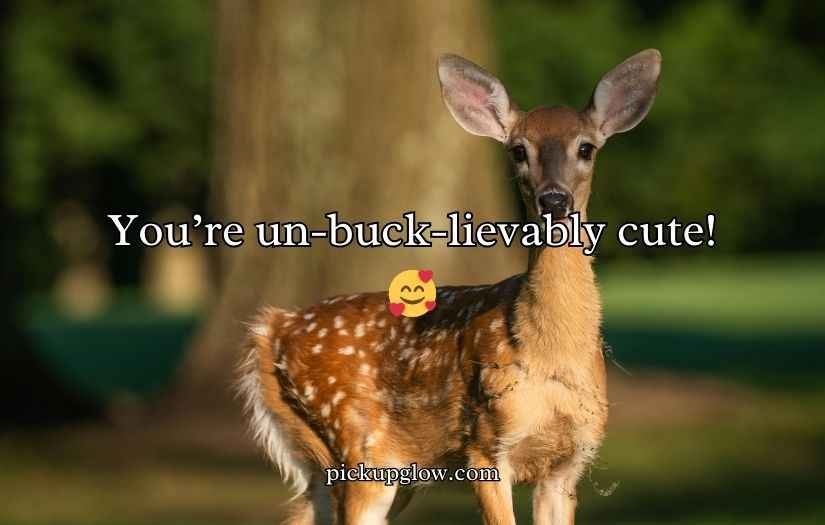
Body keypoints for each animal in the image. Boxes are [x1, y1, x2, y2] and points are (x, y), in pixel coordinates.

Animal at [238, 49, 661, 525]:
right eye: (518, 150)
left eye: (585, 147)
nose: (554, 199)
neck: (549, 355)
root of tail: (271, 329)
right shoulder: (485, 444)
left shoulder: (568, 463)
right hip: (355, 441)